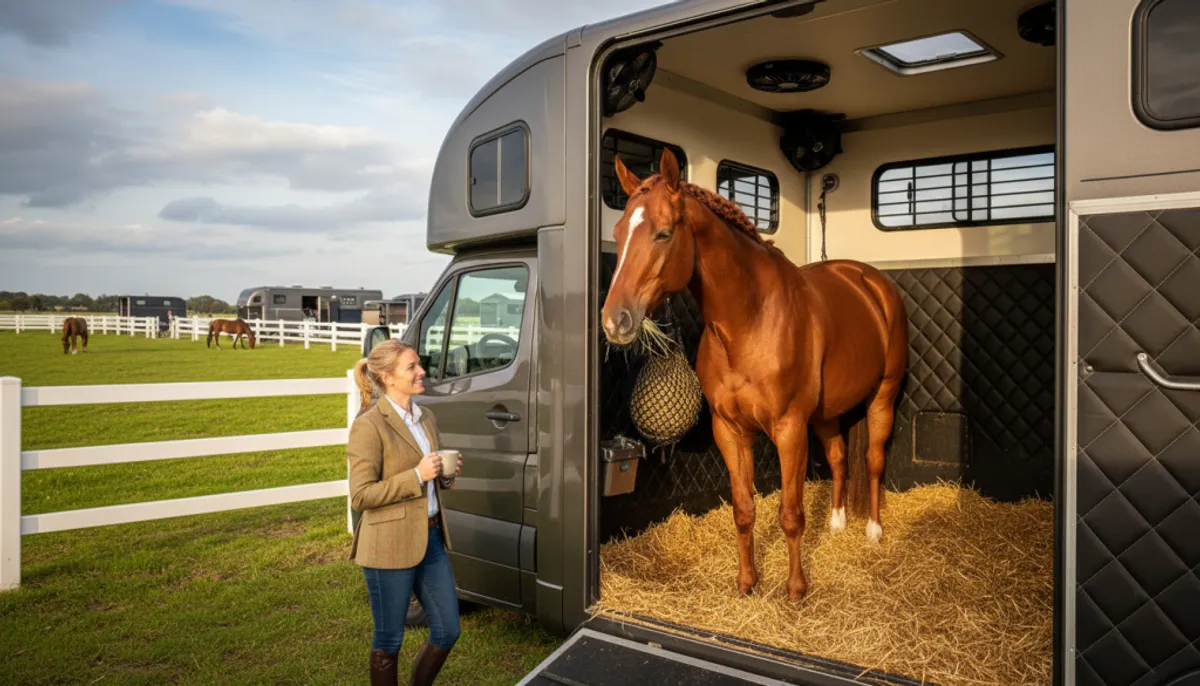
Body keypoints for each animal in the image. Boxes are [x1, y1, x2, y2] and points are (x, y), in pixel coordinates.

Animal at [600, 148, 909, 602]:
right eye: (619, 232)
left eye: (663, 233)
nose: (614, 320)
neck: (750, 320)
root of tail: (870, 280)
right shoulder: (730, 430)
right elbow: (744, 511)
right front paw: (747, 583)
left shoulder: (790, 430)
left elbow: (791, 514)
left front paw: (796, 590)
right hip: (827, 414)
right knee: (838, 459)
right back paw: (837, 522)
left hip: (882, 399)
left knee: (872, 460)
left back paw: (873, 530)